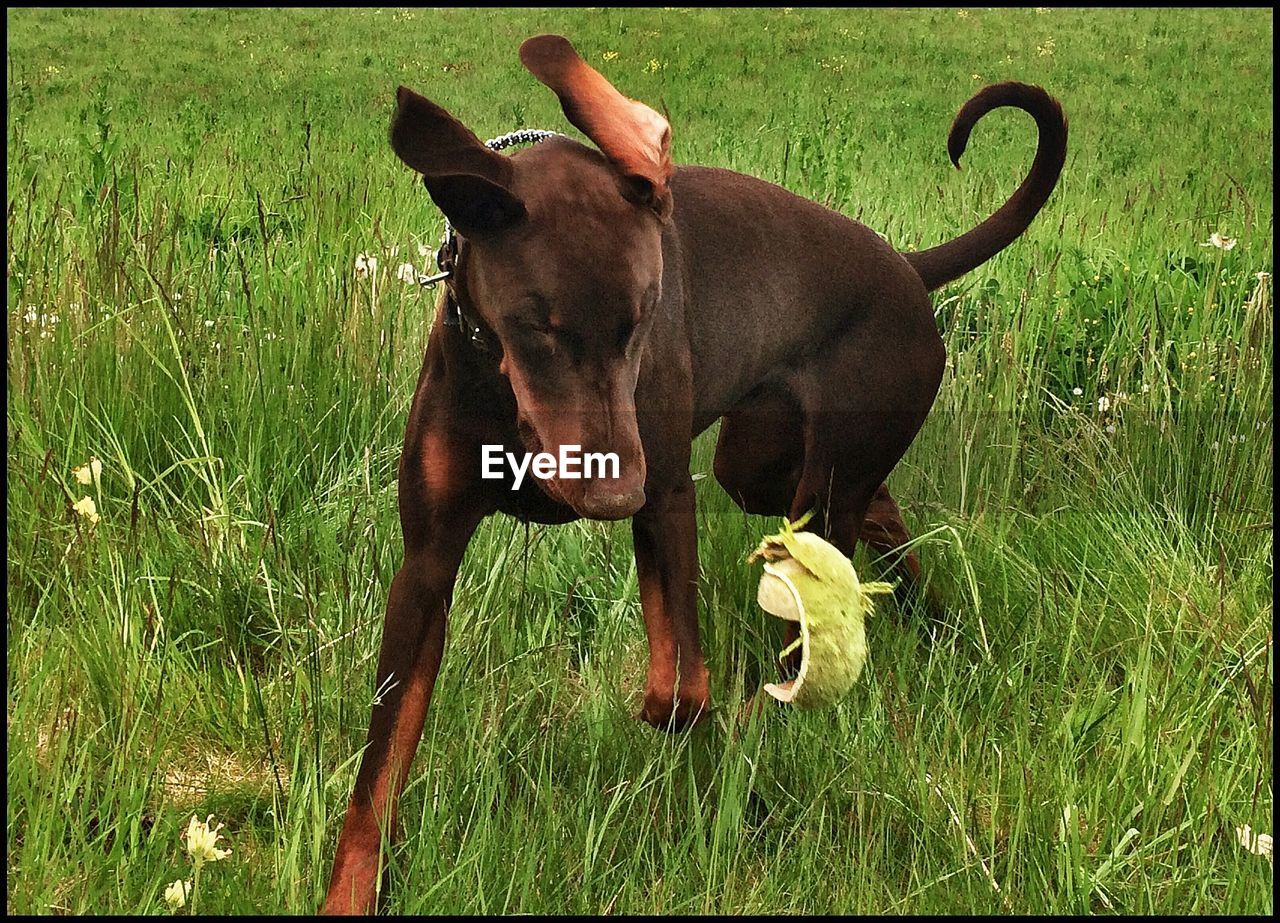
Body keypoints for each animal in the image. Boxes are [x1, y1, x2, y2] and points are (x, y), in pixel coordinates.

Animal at [322, 34, 1070, 906]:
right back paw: (929, 621)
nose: (614, 492)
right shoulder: (428, 560)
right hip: (763, 464)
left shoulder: (668, 499)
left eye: (646, 315)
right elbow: (378, 768)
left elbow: (681, 687)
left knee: (817, 610)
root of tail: (908, 268)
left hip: (811, 482)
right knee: (876, 514)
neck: (504, 392)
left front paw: (688, 717)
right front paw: (350, 892)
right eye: (535, 327)